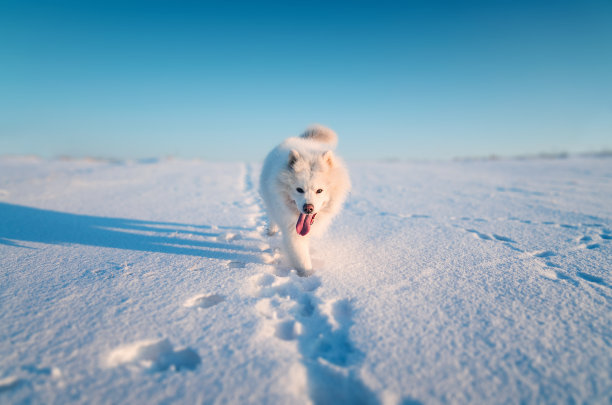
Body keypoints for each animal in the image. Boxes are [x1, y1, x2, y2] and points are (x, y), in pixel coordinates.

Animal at [260, 124, 352, 274]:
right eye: (299, 189)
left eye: (319, 190)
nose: (308, 208)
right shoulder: (292, 232)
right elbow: (302, 260)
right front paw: (307, 275)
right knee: (272, 217)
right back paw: (271, 231)